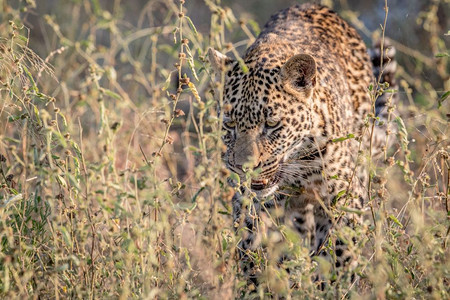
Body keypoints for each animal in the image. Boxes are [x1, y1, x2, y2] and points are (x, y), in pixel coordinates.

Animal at [207, 3, 398, 288]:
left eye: (271, 124)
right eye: (230, 124)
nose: (244, 168)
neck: (298, 165)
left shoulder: (345, 199)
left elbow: (339, 253)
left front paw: (331, 286)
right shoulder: (249, 203)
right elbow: (252, 248)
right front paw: (258, 284)